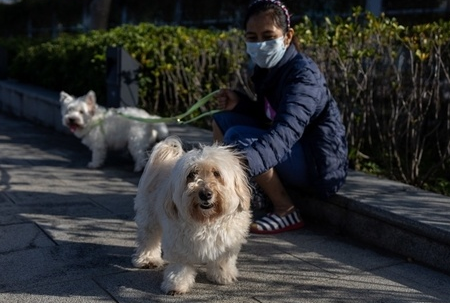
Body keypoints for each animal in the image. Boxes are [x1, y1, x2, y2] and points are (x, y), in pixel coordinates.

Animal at [133, 137, 253, 296]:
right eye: (191, 175)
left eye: (216, 173)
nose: (205, 194)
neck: (206, 220)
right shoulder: (178, 243)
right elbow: (180, 267)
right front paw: (176, 284)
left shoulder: (228, 242)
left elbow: (222, 260)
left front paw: (222, 275)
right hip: (149, 216)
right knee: (148, 238)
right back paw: (148, 259)